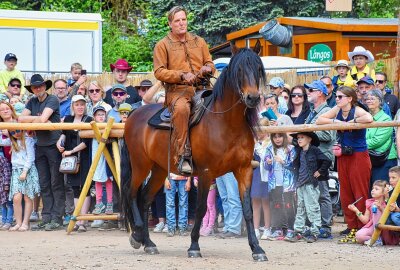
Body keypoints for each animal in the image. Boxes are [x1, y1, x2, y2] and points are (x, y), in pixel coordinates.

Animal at [120, 40, 268, 262]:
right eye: (239, 70)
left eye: (258, 68)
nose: (252, 97)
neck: (226, 123)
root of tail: (134, 114)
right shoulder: (206, 173)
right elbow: (200, 208)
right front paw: (194, 246)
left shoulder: (244, 170)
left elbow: (248, 209)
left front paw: (257, 249)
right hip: (140, 165)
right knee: (131, 193)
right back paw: (137, 235)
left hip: (159, 169)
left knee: (145, 198)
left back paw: (148, 243)